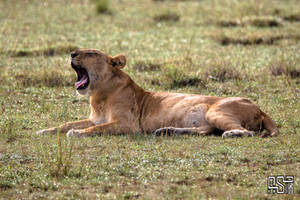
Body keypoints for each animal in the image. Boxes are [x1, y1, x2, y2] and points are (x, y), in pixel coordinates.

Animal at [37, 49, 278, 138]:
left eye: (91, 53)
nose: (72, 53)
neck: (99, 96)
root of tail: (261, 109)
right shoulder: (94, 118)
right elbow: (67, 123)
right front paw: (45, 130)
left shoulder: (127, 125)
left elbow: (94, 129)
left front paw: (77, 133)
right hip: (208, 120)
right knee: (205, 131)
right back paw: (166, 130)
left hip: (216, 111)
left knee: (246, 132)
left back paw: (232, 134)